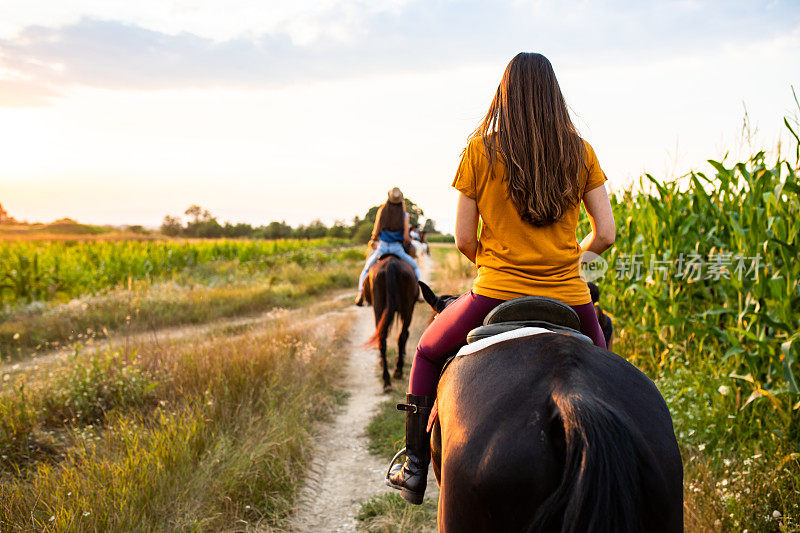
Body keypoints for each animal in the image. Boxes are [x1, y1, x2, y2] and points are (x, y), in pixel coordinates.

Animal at [360, 254, 416, 390]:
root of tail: (391, 265)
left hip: (379, 309)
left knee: (383, 339)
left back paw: (387, 379)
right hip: (407, 309)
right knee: (401, 336)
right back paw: (397, 371)